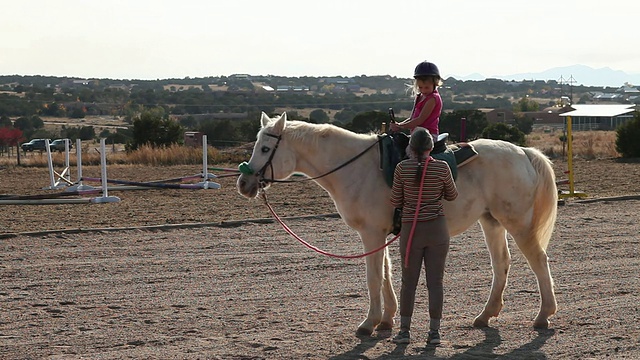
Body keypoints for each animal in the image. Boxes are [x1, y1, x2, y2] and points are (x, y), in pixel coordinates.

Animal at [238, 112, 556, 334]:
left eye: (265, 149)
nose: (244, 183)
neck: (355, 168)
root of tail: (523, 152)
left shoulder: (370, 233)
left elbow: (373, 276)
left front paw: (369, 323)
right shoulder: (380, 233)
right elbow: (386, 273)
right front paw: (387, 319)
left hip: (518, 224)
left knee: (539, 260)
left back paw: (543, 315)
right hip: (491, 222)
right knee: (501, 263)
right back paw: (486, 315)